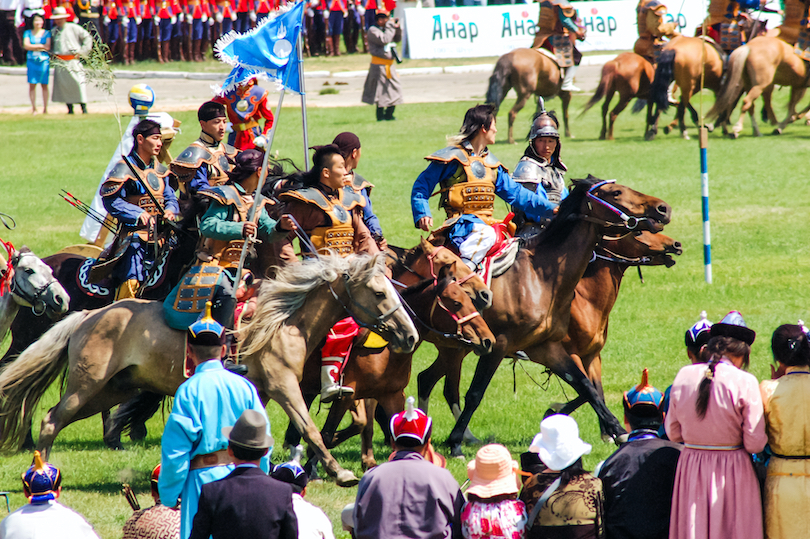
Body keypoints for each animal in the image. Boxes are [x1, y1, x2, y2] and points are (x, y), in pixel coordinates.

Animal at [0, 253, 416, 486]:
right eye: (379, 293)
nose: (410, 336)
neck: (284, 323)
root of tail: (87, 315)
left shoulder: (263, 391)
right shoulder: (284, 386)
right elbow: (310, 428)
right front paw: (340, 472)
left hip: (113, 389)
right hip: (86, 387)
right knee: (51, 420)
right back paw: (44, 474)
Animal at [422, 177, 668, 456]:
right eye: (616, 192)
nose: (663, 209)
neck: (541, 279)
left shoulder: (548, 348)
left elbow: (587, 387)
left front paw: (618, 431)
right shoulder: (499, 345)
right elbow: (475, 394)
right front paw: (454, 442)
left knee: (427, 379)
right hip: (454, 347)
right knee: (440, 385)